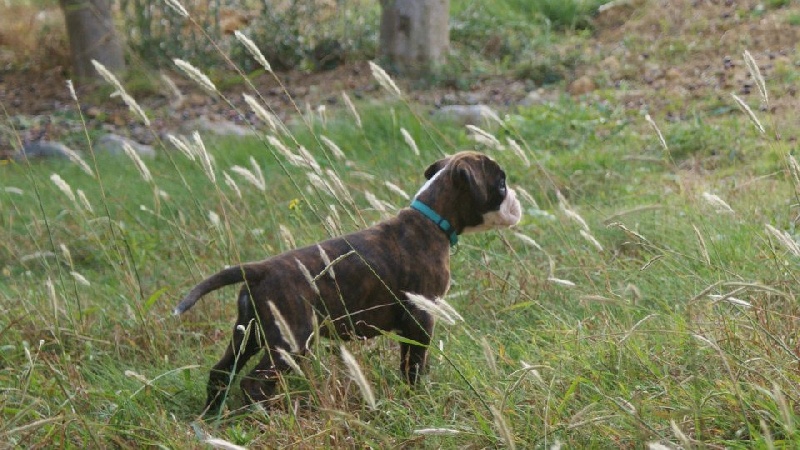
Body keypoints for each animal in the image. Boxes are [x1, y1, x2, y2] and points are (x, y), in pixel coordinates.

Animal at [174, 151, 522, 413]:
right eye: (501, 183)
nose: (517, 199)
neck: (432, 218)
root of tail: (260, 269)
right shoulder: (421, 318)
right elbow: (414, 365)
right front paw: (419, 397)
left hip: (250, 333)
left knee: (221, 372)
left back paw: (212, 417)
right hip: (291, 340)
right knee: (253, 383)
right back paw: (262, 416)